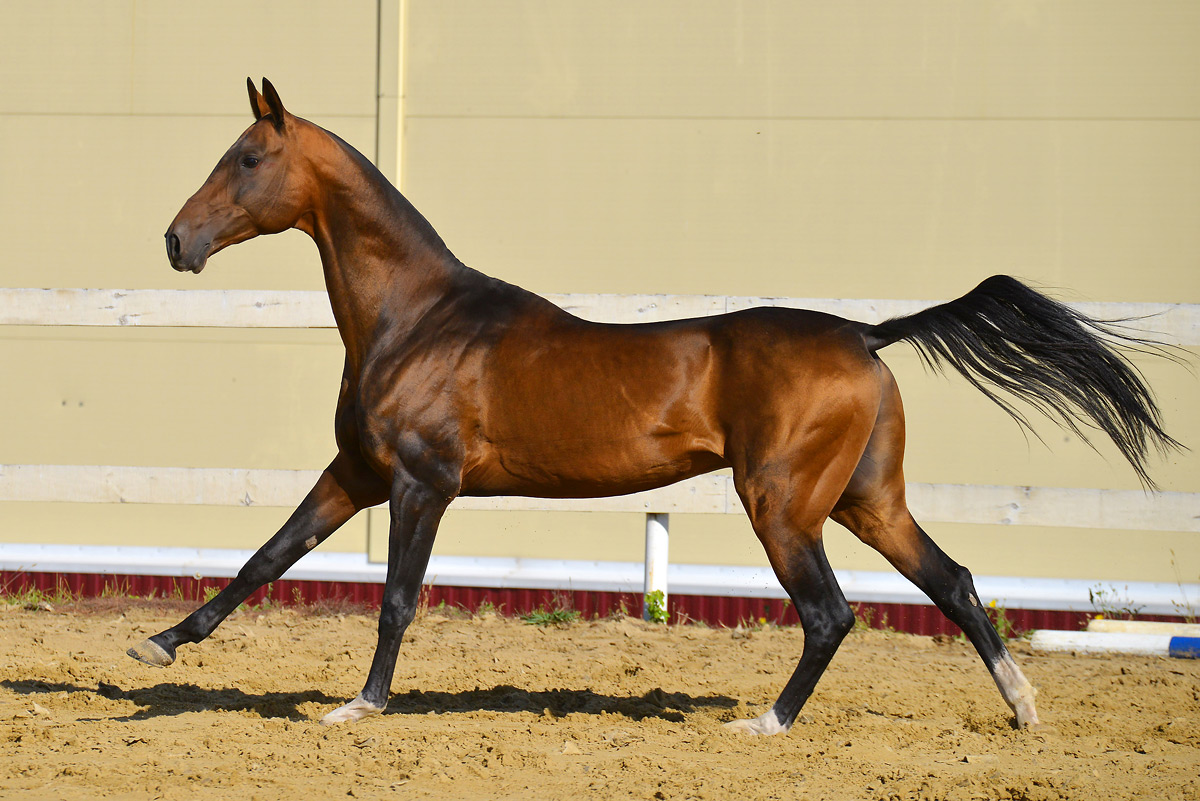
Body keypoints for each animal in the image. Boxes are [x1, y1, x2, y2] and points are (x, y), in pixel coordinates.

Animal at [129, 79, 1171, 733]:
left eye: (246, 158)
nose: (177, 241)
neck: (416, 318)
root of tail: (865, 336)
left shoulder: (423, 485)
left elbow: (394, 598)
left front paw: (360, 705)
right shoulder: (357, 472)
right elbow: (267, 557)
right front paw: (160, 645)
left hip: (783, 504)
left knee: (831, 613)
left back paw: (767, 723)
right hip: (867, 500)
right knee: (952, 582)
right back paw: (1023, 707)